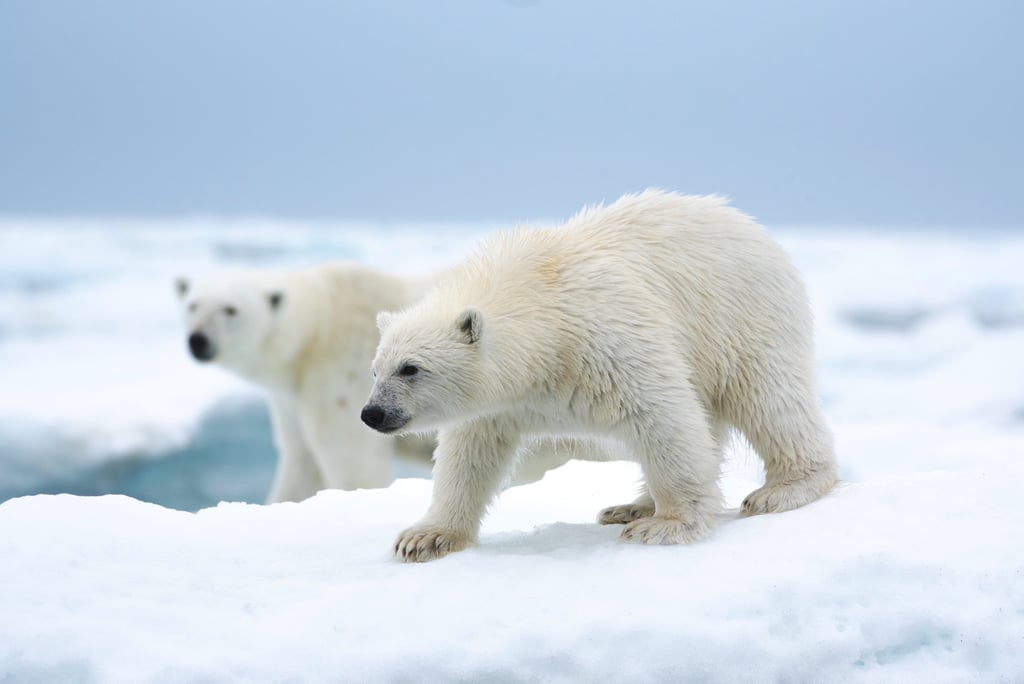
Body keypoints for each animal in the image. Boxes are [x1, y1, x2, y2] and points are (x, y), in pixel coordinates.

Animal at [176, 262, 437, 502]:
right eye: (192, 305)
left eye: (230, 309)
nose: (198, 340)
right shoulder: (292, 400)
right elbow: (302, 462)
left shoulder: (343, 378)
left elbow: (352, 462)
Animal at [363, 189, 838, 562]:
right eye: (375, 368)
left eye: (411, 368)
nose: (372, 413)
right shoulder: (500, 402)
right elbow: (469, 454)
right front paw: (425, 537)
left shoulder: (607, 340)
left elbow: (663, 417)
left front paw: (666, 525)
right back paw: (630, 505)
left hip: (741, 318)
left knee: (767, 398)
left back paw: (783, 489)